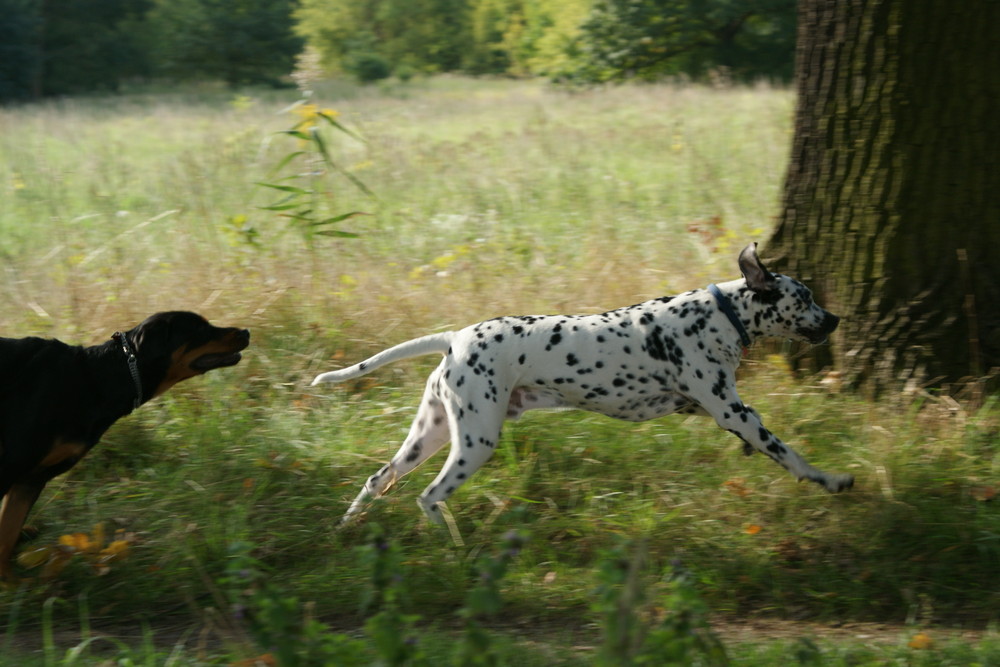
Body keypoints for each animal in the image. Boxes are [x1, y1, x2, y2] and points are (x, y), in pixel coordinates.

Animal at [0, 314, 248, 580]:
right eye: (200, 328)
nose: (246, 331)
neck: (96, 380)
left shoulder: (32, 479)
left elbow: (8, 534)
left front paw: (11, 583)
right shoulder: (11, 468)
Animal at [312, 243, 852, 524]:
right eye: (805, 296)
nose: (836, 319)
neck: (717, 315)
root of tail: (456, 337)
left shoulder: (710, 410)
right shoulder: (733, 412)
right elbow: (789, 453)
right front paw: (829, 479)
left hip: (429, 435)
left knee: (378, 479)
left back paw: (346, 529)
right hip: (474, 443)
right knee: (430, 496)